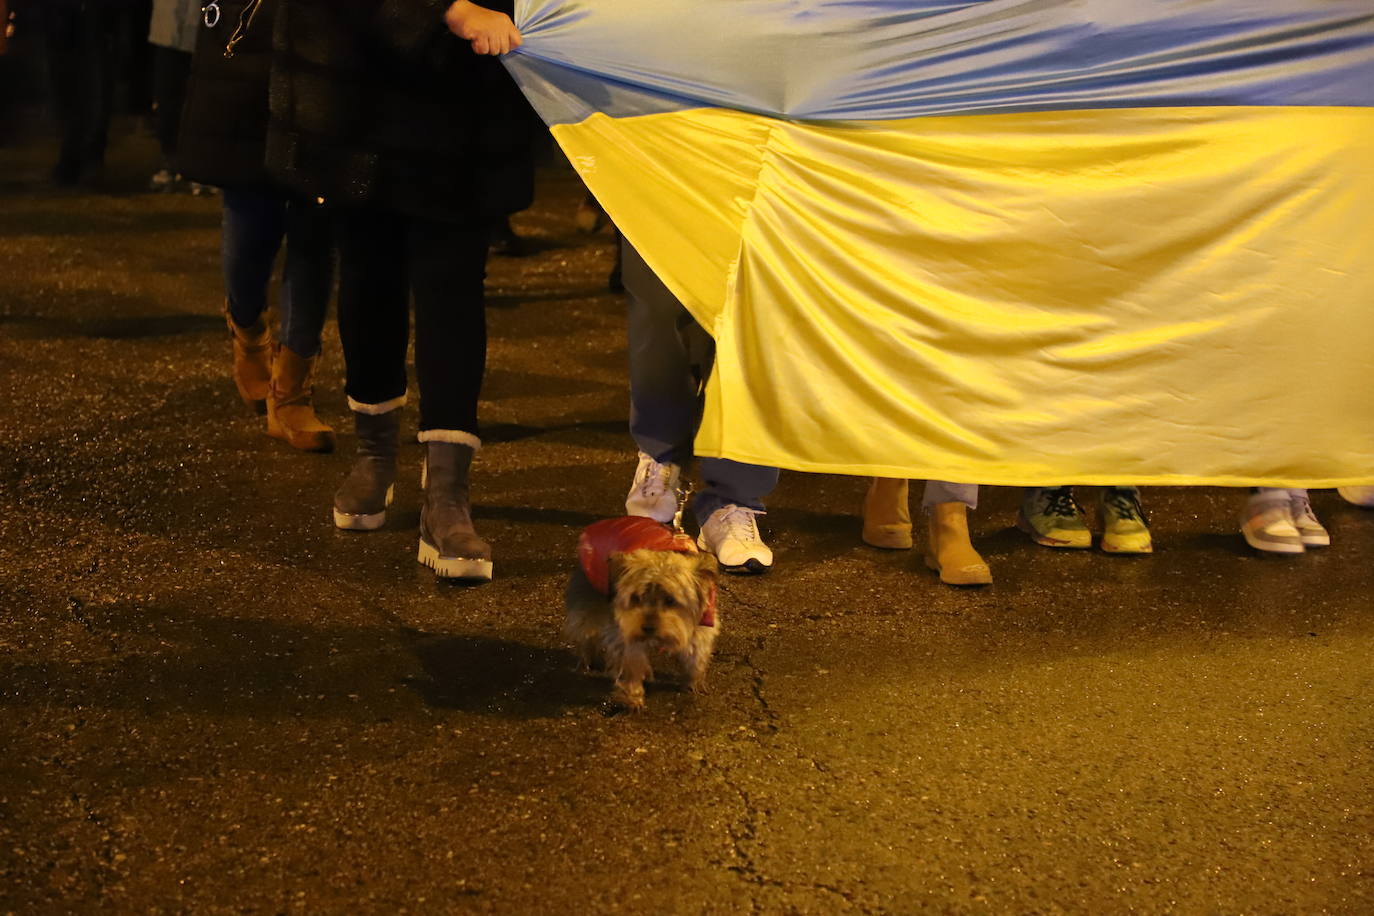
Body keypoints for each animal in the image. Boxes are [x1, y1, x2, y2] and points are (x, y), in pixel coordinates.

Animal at [566, 519, 725, 714]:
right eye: (636, 598)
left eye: (670, 600)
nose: (648, 628)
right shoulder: (625, 631)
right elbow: (631, 662)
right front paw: (633, 697)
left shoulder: (702, 622)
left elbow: (697, 652)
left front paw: (693, 681)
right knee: (586, 629)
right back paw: (588, 658)